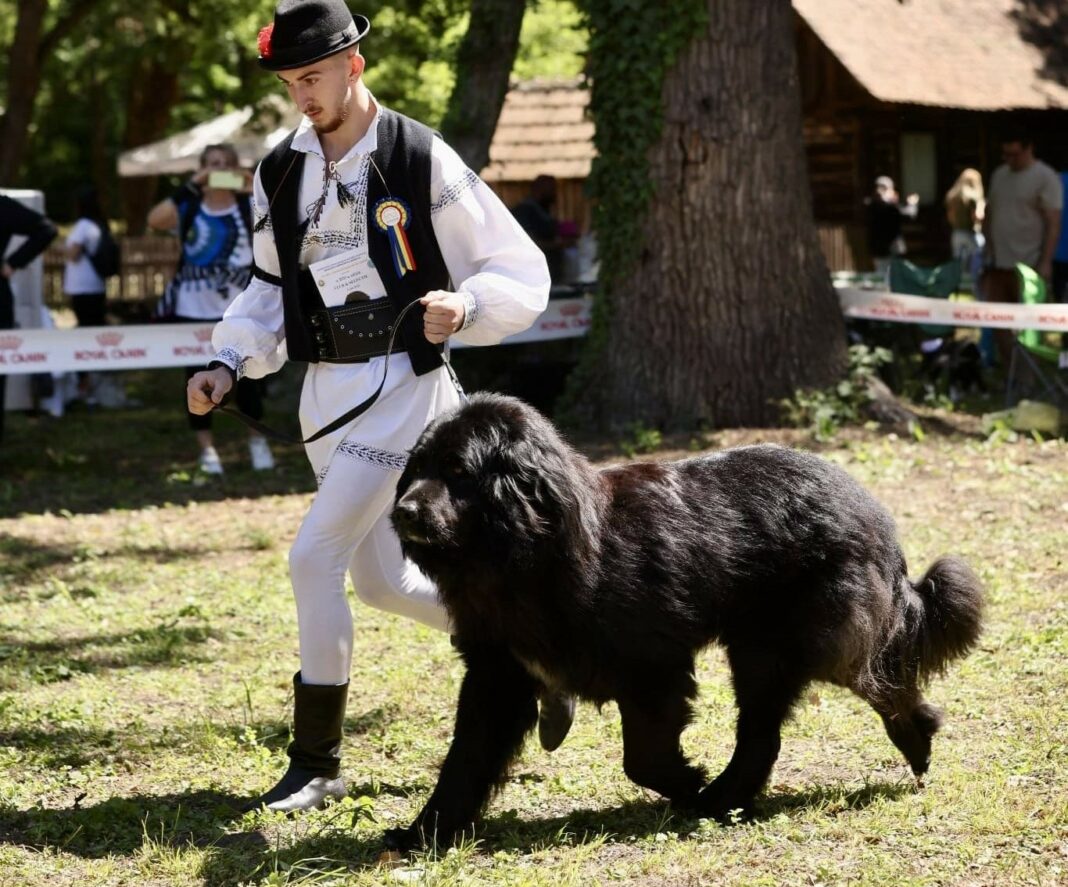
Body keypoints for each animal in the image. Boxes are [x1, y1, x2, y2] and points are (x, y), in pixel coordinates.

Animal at [386, 394, 982, 853]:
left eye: (458, 471)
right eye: (416, 468)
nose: (402, 512)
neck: (532, 555)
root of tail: (875, 515)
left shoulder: (653, 667)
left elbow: (642, 758)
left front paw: (687, 782)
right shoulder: (497, 674)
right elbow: (464, 760)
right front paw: (421, 835)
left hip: (802, 641)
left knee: (876, 681)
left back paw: (912, 741)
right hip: (761, 651)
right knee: (767, 734)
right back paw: (728, 797)